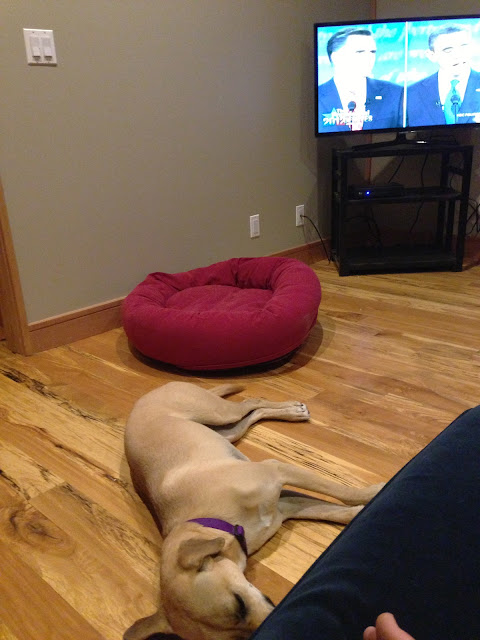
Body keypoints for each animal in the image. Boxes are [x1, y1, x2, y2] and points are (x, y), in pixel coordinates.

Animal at [124, 381, 384, 640]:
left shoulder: (278, 471)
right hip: (227, 431)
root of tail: (151, 392)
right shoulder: (284, 507)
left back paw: (292, 411)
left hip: (218, 413)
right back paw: (292, 412)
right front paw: (360, 512)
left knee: (252, 401)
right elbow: (329, 511)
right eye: (236, 638)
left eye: (238, 603)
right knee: (253, 414)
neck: (213, 519)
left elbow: (340, 491)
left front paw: (374, 492)